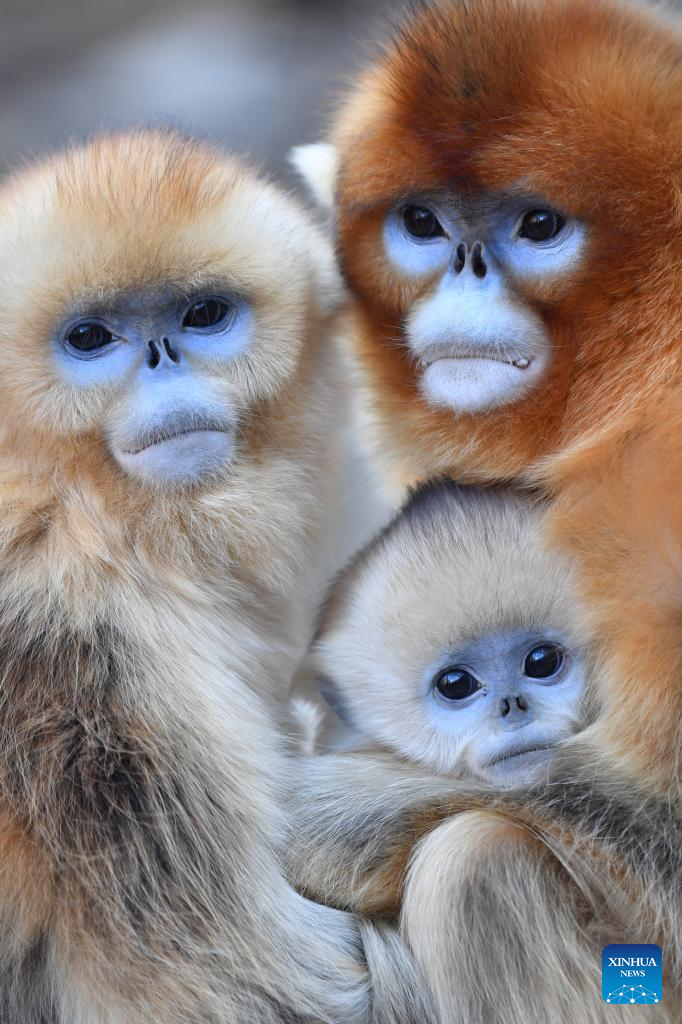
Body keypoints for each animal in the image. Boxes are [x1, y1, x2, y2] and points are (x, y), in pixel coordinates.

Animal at [0, 129, 436, 1024]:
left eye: (203, 316)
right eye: (90, 338)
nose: (163, 361)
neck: (76, 504)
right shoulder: (78, 659)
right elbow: (284, 983)